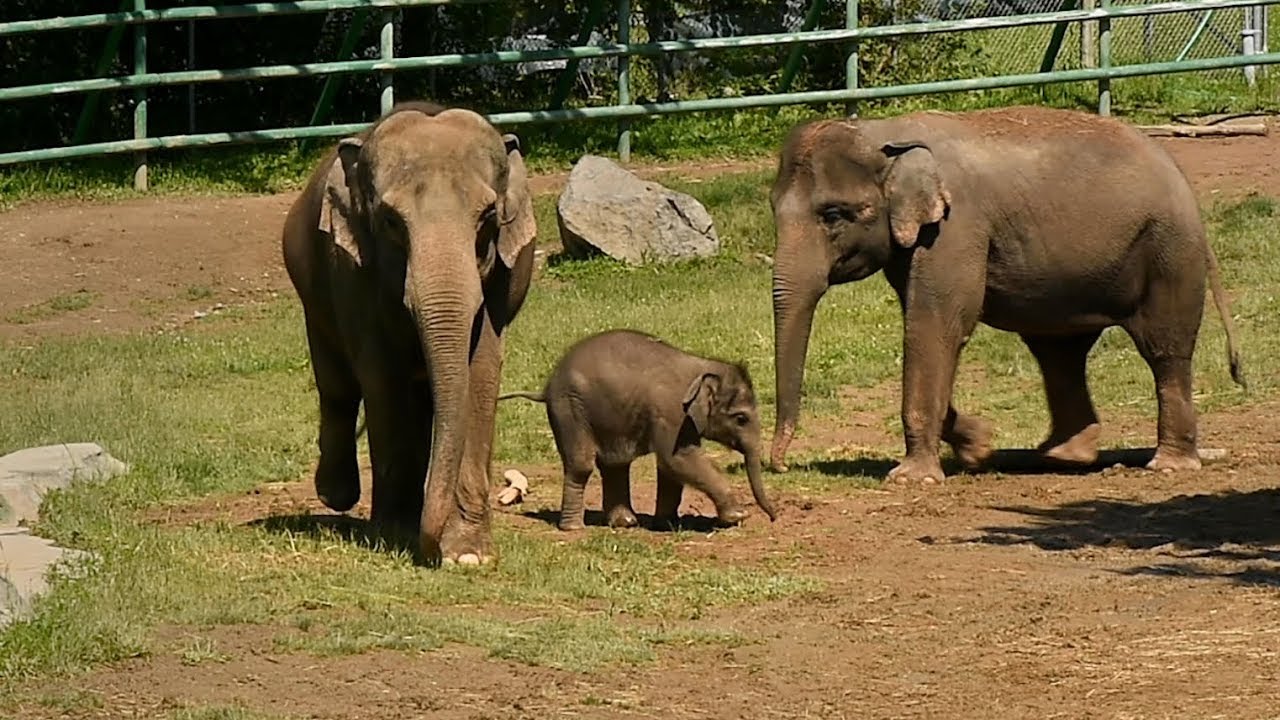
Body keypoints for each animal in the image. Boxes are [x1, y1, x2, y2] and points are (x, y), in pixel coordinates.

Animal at [282, 101, 537, 563]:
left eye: (489, 216)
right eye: (390, 221)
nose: (431, 549)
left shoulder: (503, 279)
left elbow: (481, 371)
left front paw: (468, 554)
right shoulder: (353, 273)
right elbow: (381, 376)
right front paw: (395, 532)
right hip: (313, 292)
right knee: (337, 386)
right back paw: (336, 495)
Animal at [499, 330, 778, 527]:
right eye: (741, 418)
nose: (773, 518)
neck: (701, 367)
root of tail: (546, 387)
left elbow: (670, 466)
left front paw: (667, 523)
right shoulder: (671, 414)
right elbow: (679, 459)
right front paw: (738, 516)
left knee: (614, 465)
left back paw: (625, 523)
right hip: (569, 410)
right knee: (581, 465)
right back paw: (573, 528)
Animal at [762, 105, 1244, 481]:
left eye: (833, 215)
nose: (780, 465)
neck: (884, 132)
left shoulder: (956, 229)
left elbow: (937, 324)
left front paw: (913, 477)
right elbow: (929, 327)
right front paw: (979, 448)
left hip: (1168, 250)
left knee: (1165, 348)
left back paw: (1168, 465)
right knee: (1059, 352)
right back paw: (1063, 457)